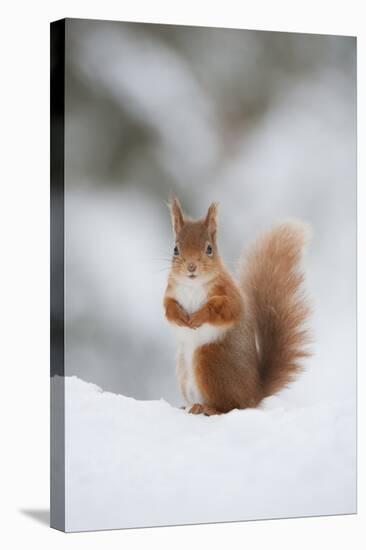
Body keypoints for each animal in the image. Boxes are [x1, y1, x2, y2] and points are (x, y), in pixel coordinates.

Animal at [164, 201, 310, 416]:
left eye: (209, 249)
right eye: (175, 249)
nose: (191, 267)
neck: (192, 285)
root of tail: (254, 394)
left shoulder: (230, 295)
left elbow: (226, 309)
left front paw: (199, 316)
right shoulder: (170, 292)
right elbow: (167, 308)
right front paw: (179, 317)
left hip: (208, 360)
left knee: (230, 406)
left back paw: (207, 408)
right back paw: (189, 405)